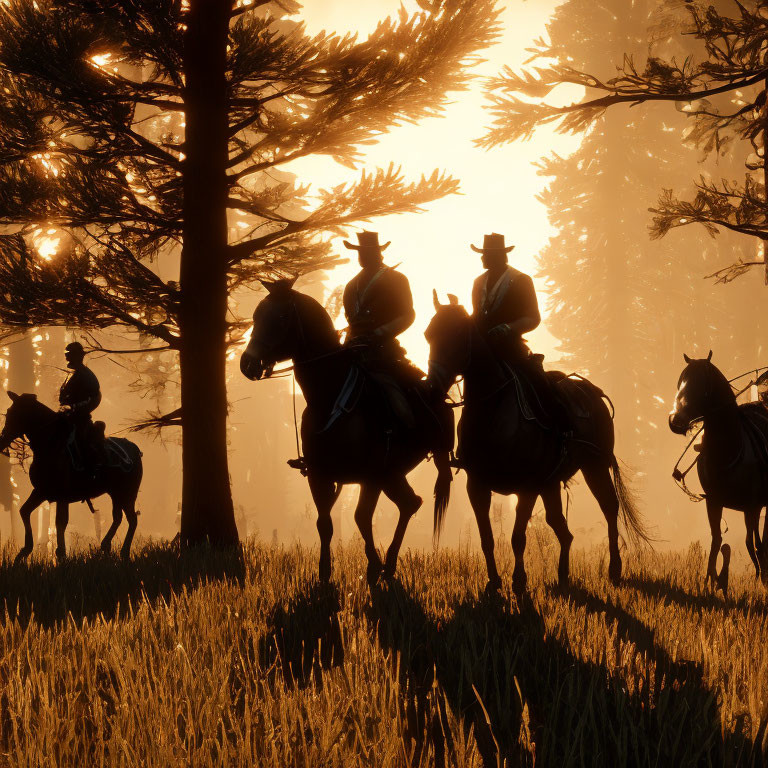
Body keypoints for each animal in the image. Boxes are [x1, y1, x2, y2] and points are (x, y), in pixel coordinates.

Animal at [0, 392, 143, 560]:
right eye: (9, 412)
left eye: (15, 413)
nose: (2, 440)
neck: (50, 446)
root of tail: (134, 449)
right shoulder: (41, 492)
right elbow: (24, 511)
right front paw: (25, 550)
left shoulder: (62, 496)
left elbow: (60, 522)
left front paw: (61, 554)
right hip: (115, 494)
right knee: (118, 517)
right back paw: (106, 544)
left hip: (127, 494)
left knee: (132, 520)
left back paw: (124, 551)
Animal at [240, 280, 452, 584]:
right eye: (257, 316)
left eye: (281, 317)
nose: (248, 364)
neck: (329, 398)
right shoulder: (319, 475)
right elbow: (325, 523)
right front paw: (324, 573)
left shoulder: (370, 477)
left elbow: (361, 517)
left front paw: (372, 567)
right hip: (392, 475)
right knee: (409, 503)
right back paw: (390, 564)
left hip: (393, 472)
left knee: (408, 504)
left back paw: (387, 565)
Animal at [424, 294, 652, 592]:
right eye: (428, 334)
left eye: (458, 335)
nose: (431, 388)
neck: (494, 413)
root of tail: (593, 393)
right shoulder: (478, 486)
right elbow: (488, 538)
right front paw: (493, 582)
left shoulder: (528, 487)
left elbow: (518, 536)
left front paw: (519, 581)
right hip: (552, 484)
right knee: (562, 529)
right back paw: (563, 576)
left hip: (595, 467)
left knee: (609, 508)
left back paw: (614, 569)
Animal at [664, 356, 768, 588]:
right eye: (680, 382)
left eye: (701, 385)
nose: (675, 421)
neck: (729, 450)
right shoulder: (713, 502)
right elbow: (717, 539)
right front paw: (710, 580)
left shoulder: (753, 506)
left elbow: (755, 543)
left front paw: (761, 578)